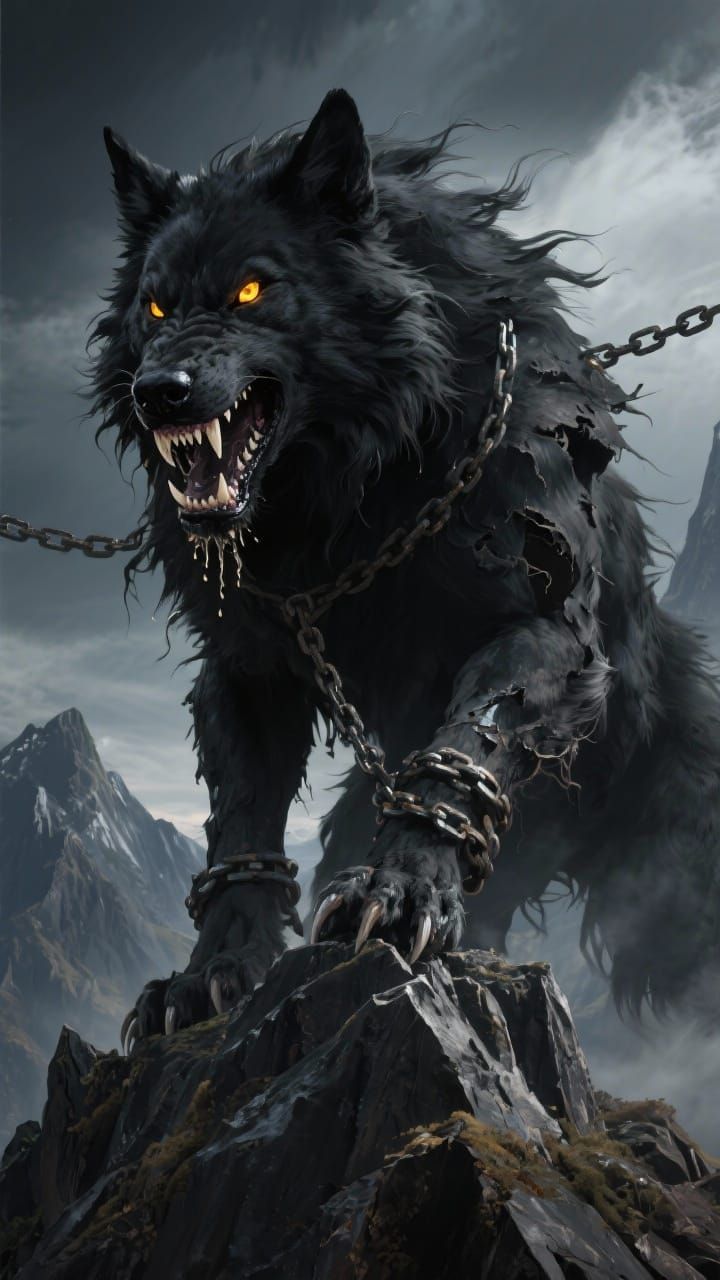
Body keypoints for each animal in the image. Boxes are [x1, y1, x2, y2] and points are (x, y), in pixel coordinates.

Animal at [92, 90, 720, 1043]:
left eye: (252, 288)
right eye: (156, 308)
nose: (157, 393)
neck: (360, 489)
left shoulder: (544, 630)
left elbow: (463, 744)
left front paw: (399, 890)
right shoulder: (247, 667)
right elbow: (245, 826)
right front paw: (211, 974)